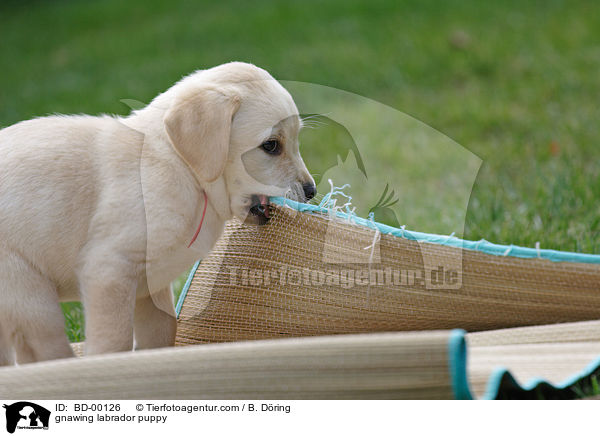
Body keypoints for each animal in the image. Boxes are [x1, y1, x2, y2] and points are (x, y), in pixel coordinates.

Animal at [0, 60, 316, 362]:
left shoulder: (152, 289)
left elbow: (162, 333)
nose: (312, 191)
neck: (181, 166)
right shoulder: (108, 269)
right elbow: (113, 342)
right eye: (271, 146)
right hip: (31, 294)